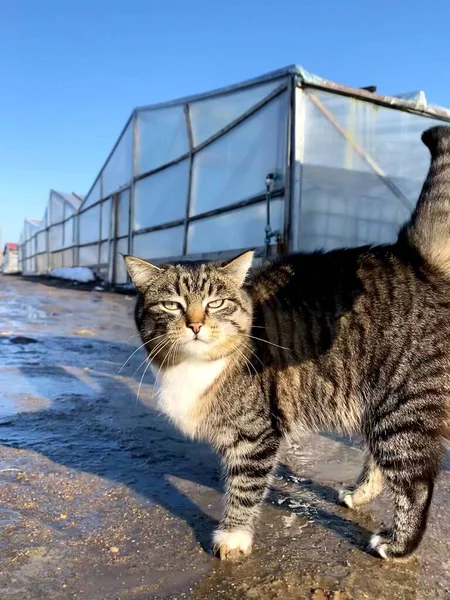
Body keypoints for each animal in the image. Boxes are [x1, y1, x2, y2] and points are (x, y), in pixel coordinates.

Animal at [125, 126, 450, 564]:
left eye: (215, 303)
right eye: (172, 305)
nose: (194, 324)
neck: (195, 367)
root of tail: (414, 258)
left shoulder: (256, 435)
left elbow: (244, 488)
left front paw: (233, 536)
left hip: (404, 405)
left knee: (416, 481)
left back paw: (399, 544)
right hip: (381, 405)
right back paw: (360, 493)